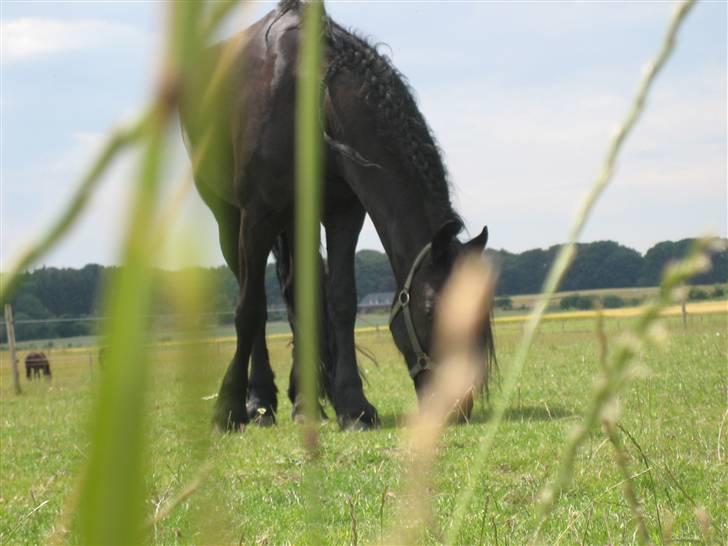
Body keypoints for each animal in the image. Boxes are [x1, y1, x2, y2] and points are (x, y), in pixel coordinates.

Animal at [181, 0, 494, 430]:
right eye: (432, 310)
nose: (458, 405)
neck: (310, 98)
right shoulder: (257, 215)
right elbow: (250, 308)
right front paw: (228, 408)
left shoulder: (344, 212)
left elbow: (342, 300)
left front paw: (353, 405)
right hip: (230, 220)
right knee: (254, 295)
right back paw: (260, 403)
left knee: (299, 291)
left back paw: (303, 400)